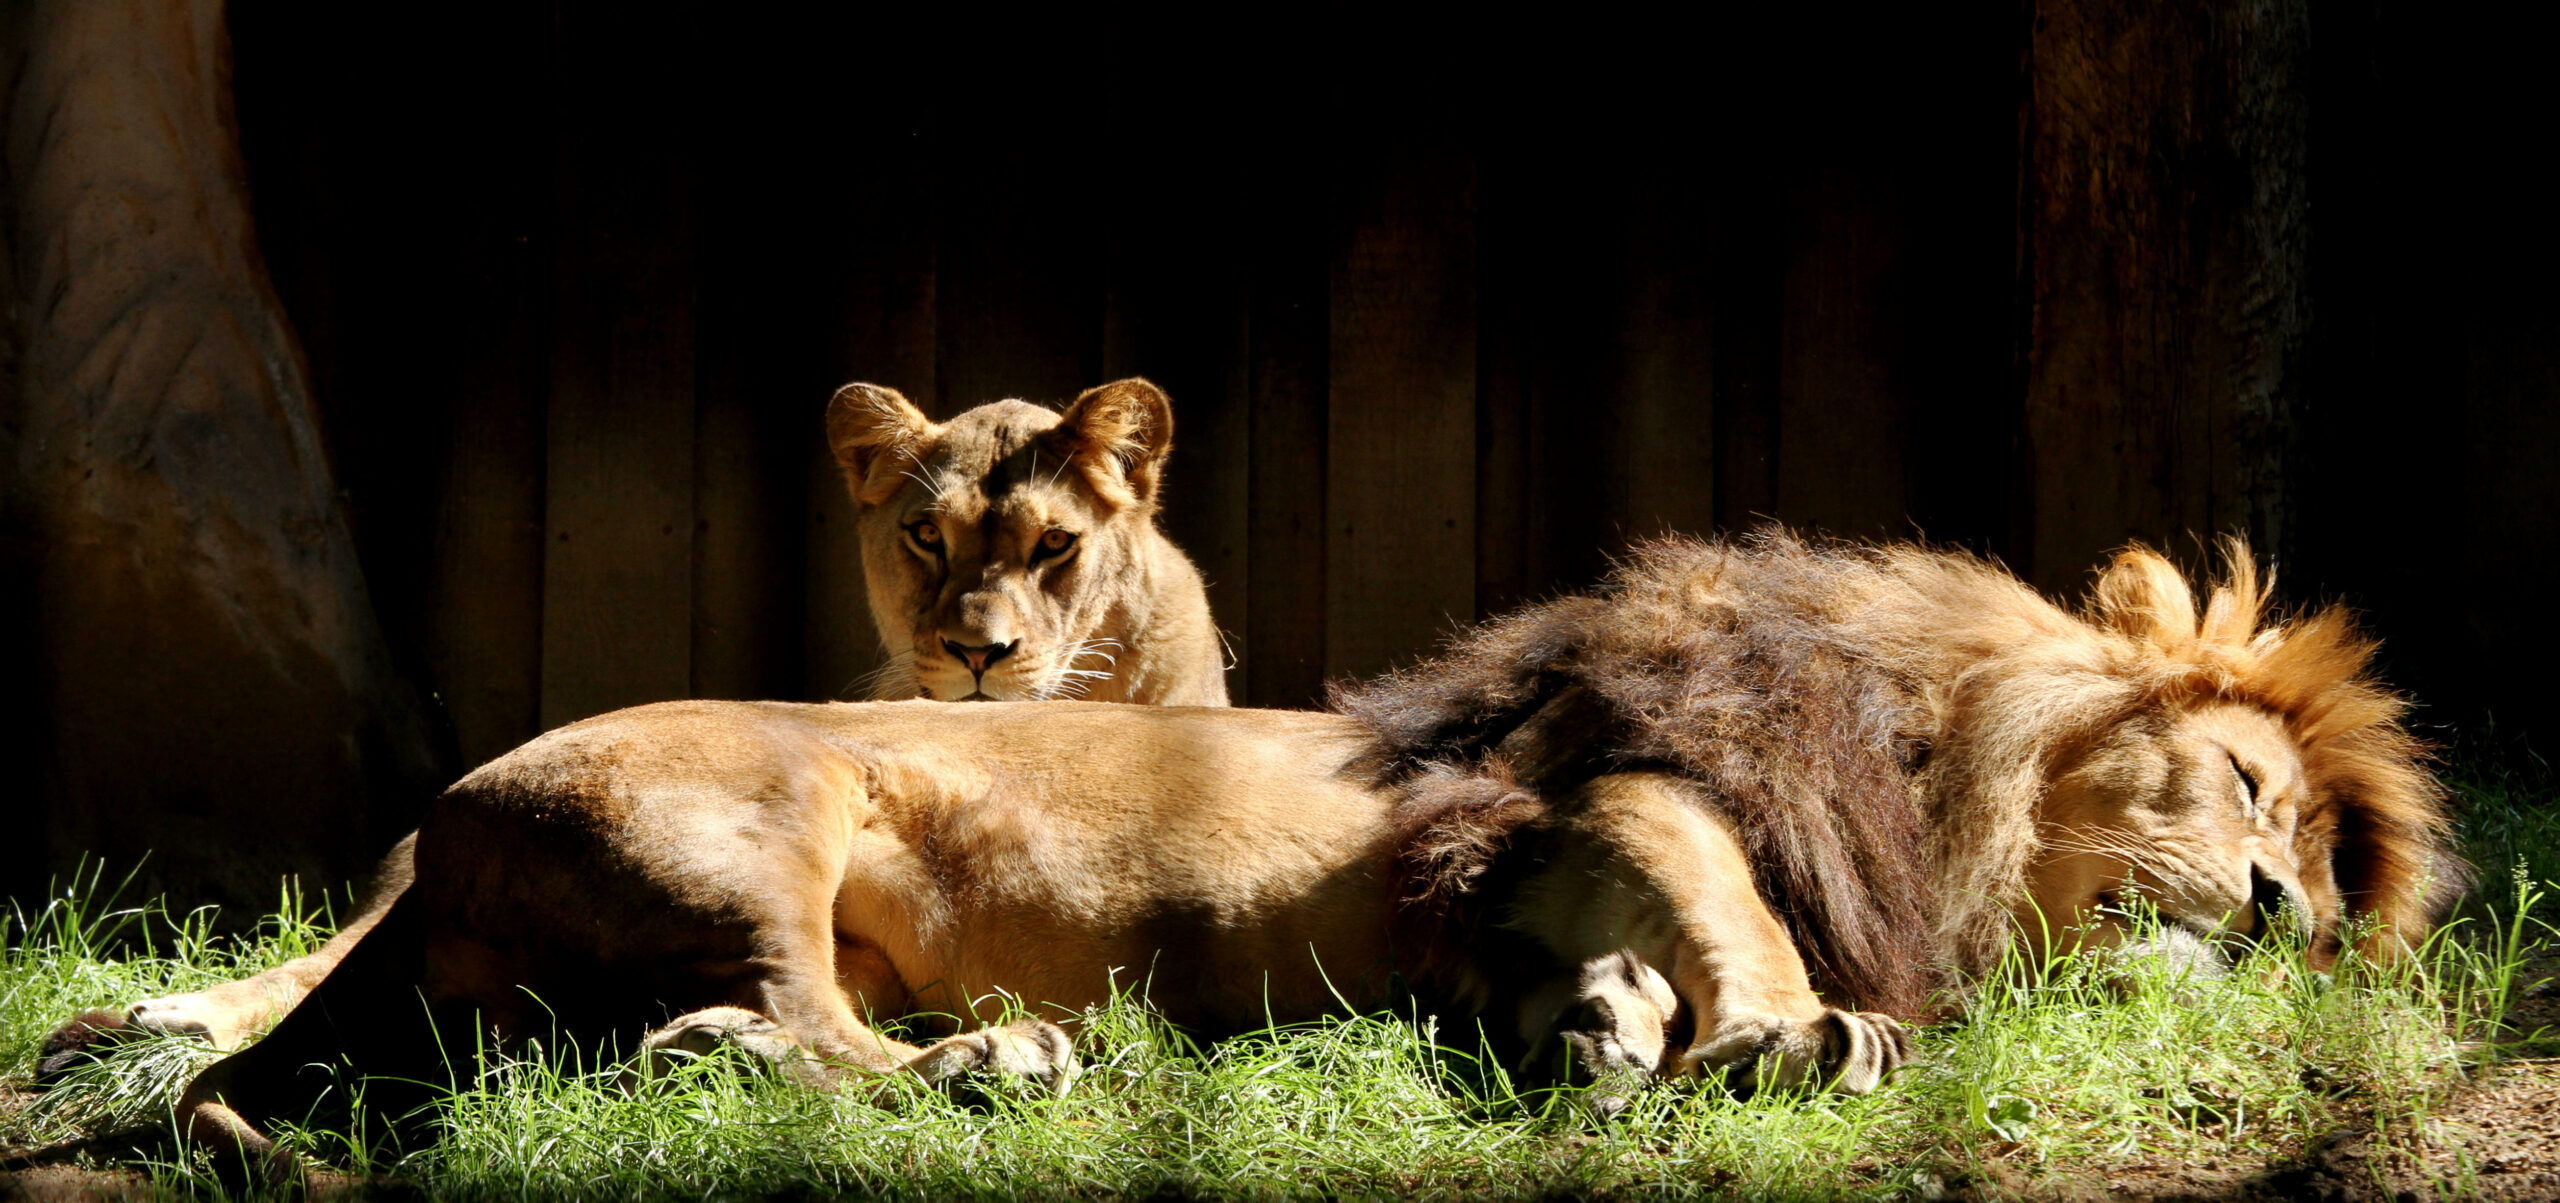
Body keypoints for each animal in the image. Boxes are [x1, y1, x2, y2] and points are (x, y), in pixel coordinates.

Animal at [60, 529, 2447, 1177]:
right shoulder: (1624, 773)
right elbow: (1752, 918)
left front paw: (1605, 1029)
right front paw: (1789, 1039)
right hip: (764, 819)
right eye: (2249, 797)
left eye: (2318, 910)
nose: (2268, 915)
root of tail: (443, 827)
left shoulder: (1527, 862)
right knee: (741, 1037)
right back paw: (993, 1067)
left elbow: (1614, 957)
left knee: (689, 1048)